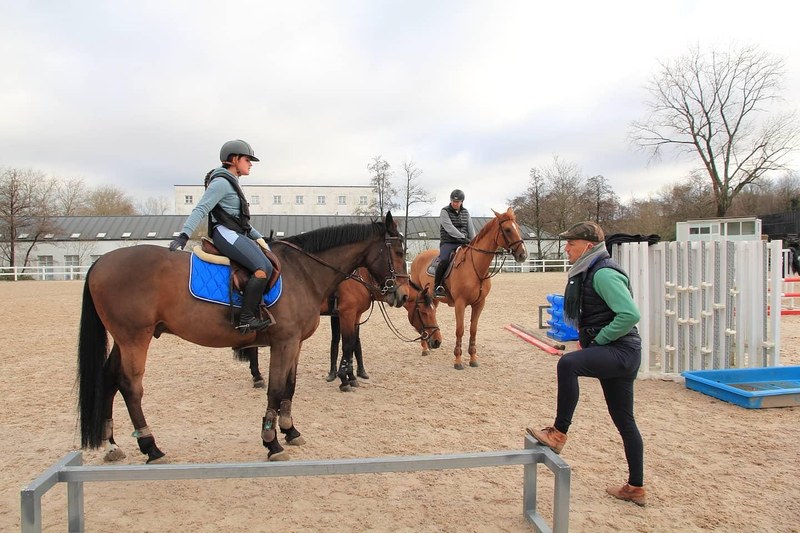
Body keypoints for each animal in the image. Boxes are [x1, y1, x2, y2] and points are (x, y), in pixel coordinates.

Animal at [78, 212, 410, 462]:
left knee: (109, 378)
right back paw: (151, 447)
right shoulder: (287, 341)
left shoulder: (296, 343)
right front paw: (271, 441)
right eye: (399, 251)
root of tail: (100, 262)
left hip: (123, 340)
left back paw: (112, 444)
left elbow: (290, 386)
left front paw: (290, 430)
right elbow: (276, 389)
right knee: (130, 387)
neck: (302, 271)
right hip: (135, 338)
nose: (404, 294)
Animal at [242, 270, 444, 390]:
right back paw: (257, 377)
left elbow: (353, 344)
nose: (437, 340)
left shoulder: (354, 316)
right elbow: (347, 345)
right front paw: (345, 379)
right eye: (424, 312)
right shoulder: (347, 314)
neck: (361, 280)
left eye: (434, 310)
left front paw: (352, 376)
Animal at [406, 209, 532, 370]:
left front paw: (473, 358)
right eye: (508, 229)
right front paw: (458, 360)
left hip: (433, 299)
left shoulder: (479, 304)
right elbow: (460, 330)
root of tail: (418, 257)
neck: (475, 268)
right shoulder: (460, 304)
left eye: (518, 227)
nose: (523, 254)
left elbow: (473, 329)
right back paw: (425, 348)